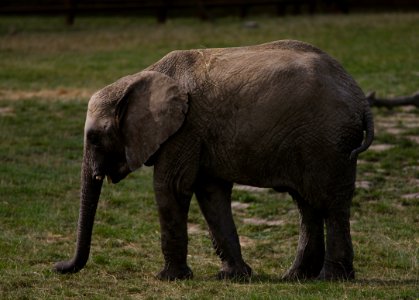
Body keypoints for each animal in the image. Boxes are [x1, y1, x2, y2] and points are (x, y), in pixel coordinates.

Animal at [55, 39, 374, 282]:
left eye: (95, 138)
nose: (58, 266)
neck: (142, 76)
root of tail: (360, 96)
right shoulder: (199, 134)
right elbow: (211, 194)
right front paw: (234, 277)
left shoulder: (185, 129)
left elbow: (171, 187)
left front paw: (169, 278)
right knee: (307, 204)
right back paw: (296, 277)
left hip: (328, 140)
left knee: (330, 203)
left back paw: (331, 279)